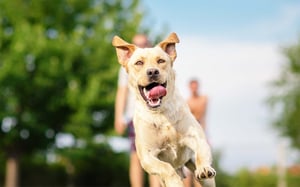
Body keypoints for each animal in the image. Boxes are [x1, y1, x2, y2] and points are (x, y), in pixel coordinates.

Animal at [112, 32, 216, 186]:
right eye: (139, 63)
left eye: (161, 61)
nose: (152, 72)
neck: (160, 113)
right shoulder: (147, 156)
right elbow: (166, 167)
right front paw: (175, 181)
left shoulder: (196, 137)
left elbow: (201, 152)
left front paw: (203, 167)